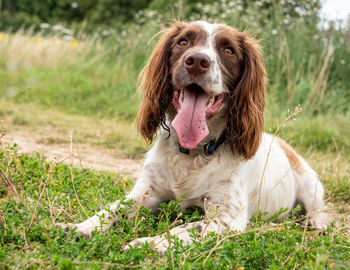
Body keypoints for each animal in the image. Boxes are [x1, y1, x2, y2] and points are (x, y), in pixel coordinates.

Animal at [56, 21, 328, 253]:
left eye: (228, 50)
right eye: (183, 42)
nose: (197, 61)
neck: (194, 152)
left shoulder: (226, 216)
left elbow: (184, 229)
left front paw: (147, 243)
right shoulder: (146, 192)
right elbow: (110, 210)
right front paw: (80, 227)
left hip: (311, 186)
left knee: (318, 210)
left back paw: (316, 224)